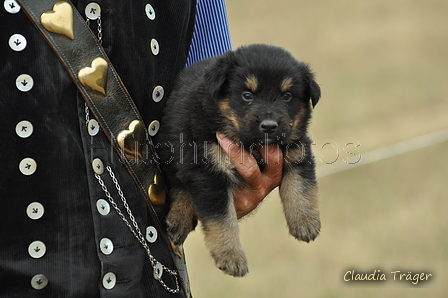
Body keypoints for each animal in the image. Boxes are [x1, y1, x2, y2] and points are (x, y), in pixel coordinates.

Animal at [158, 44, 322, 278]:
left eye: (287, 96)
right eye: (247, 95)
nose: (269, 126)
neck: (250, 144)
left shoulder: (298, 150)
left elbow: (301, 188)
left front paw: (305, 222)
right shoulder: (208, 170)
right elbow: (222, 220)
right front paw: (231, 257)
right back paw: (179, 218)